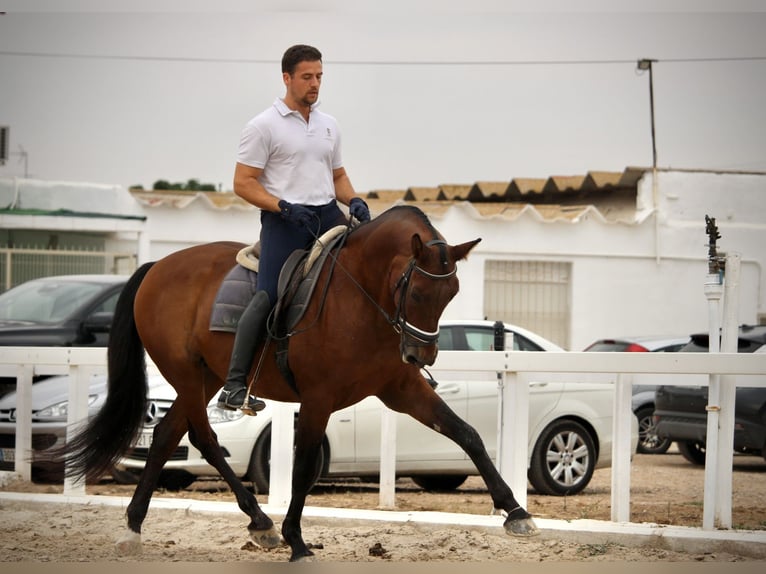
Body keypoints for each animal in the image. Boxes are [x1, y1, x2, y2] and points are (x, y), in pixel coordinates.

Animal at [57, 204, 539, 562]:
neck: (363, 295)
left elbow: (467, 434)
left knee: (165, 435)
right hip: (189, 376)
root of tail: (159, 265)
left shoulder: (401, 390)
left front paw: (516, 512)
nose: (421, 356)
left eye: (451, 293)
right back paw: (263, 524)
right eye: (418, 292)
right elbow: (305, 466)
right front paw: (297, 540)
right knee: (203, 437)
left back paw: (137, 528)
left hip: (206, 376)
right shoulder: (318, 398)